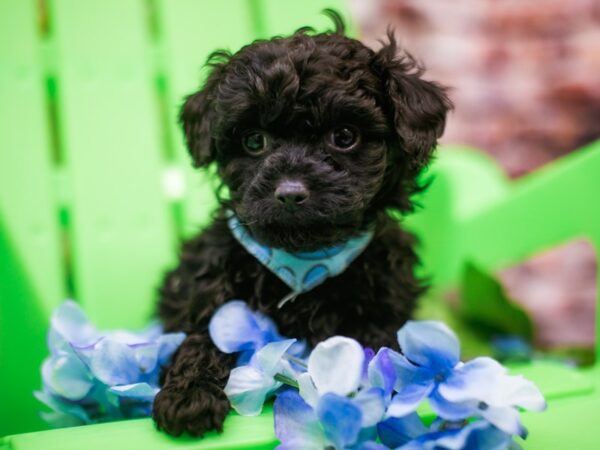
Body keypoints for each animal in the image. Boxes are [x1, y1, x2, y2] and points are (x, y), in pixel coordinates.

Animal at [152, 13, 452, 436]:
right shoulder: (208, 290)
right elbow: (203, 336)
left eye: (345, 136)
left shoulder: (385, 301)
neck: (304, 262)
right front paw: (190, 395)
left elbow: (379, 350)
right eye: (254, 141)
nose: (290, 193)